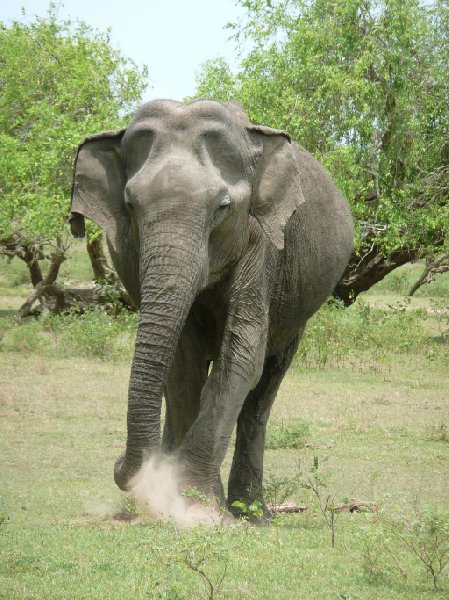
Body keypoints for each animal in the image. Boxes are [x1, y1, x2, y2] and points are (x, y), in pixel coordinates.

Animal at [69, 98, 354, 516]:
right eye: (129, 205)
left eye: (222, 207)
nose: (120, 467)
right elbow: (183, 362)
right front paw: (177, 500)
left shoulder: (263, 243)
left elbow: (242, 355)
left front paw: (197, 504)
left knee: (264, 390)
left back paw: (253, 515)